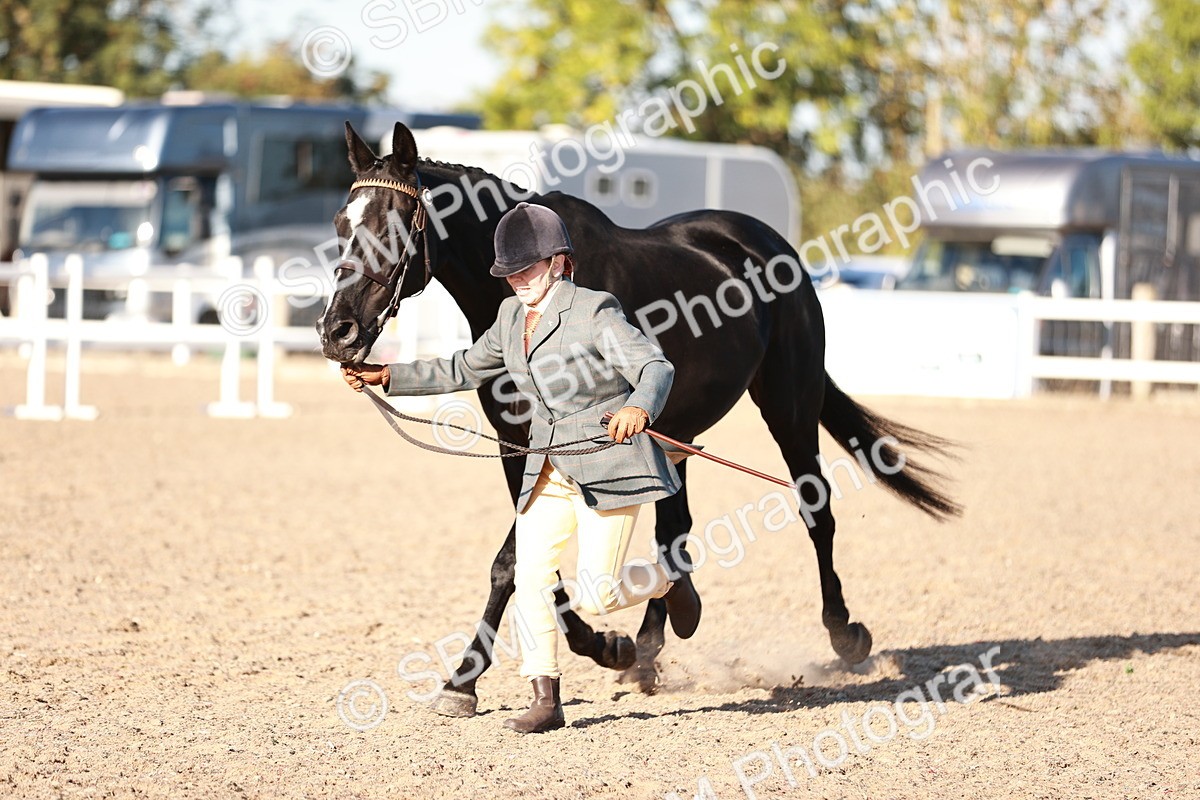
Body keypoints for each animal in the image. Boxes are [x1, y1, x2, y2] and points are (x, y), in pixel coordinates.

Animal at [317, 122, 960, 718]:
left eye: (395, 225)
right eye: (341, 224)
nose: (337, 332)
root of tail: (765, 244)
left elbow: (513, 563)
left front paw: (485, 673)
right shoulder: (518, 448)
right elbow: (529, 561)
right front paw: (574, 653)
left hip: (788, 405)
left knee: (814, 507)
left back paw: (844, 634)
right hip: (678, 432)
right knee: (674, 529)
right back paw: (654, 645)